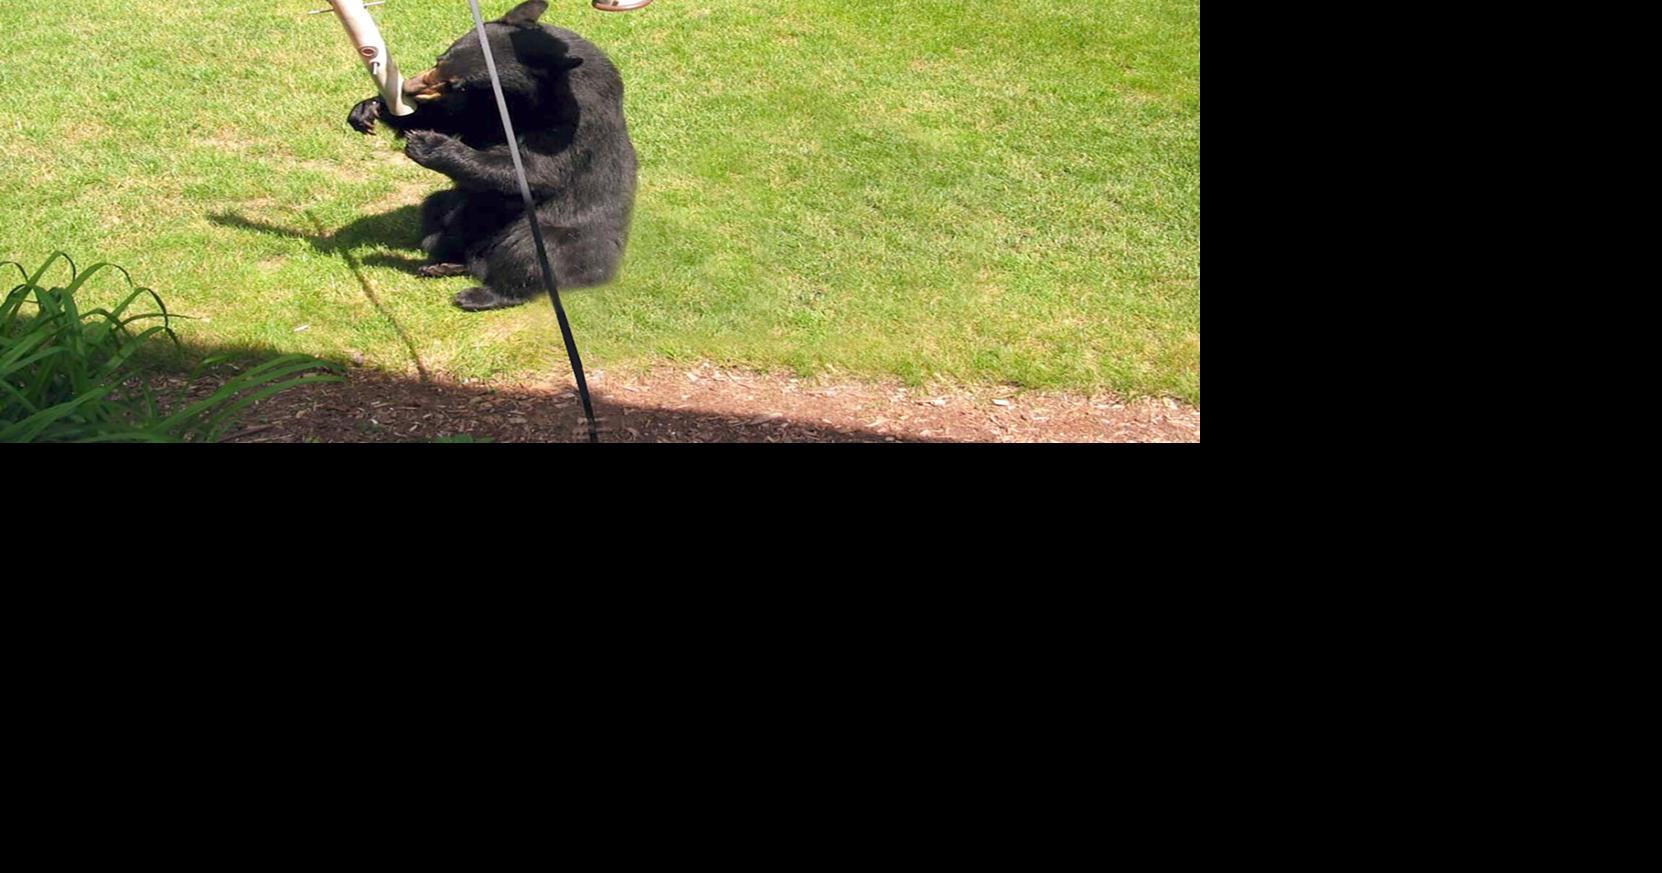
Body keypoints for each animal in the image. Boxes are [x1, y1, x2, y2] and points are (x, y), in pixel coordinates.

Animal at [347, 0, 637, 312]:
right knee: (438, 210)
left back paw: (480, 294)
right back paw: (445, 262)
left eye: (457, 82)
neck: (522, 100)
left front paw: (428, 144)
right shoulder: (485, 107)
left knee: (531, 252)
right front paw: (370, 108)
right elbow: (454, 117)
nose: (409, 88)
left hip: (565, 236)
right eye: (439, 61)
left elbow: (535, 169)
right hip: (463, 210)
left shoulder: (575, 117)